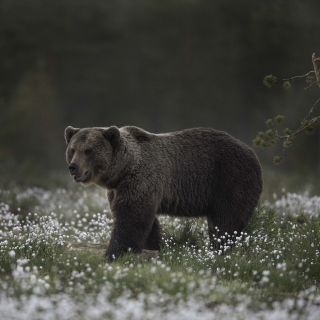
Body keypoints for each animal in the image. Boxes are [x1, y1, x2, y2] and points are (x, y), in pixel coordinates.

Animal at [65, 125, 262, 260]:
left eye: (88, 150)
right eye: (73, 150)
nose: (73, 167)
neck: (123, 170)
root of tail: (253, 153)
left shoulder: (141, 179)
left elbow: (131, 217)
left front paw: (114, 253)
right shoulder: (118, 189)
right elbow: (146, 221)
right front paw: (152, 247)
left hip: (230, 180)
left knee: (227, 222)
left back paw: (218, 249)